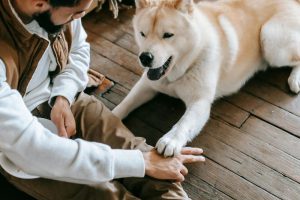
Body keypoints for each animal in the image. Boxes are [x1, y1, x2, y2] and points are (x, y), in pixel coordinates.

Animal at [112, 0, 300, 156]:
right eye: (142, 34)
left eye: (168, 35)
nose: (145, 57)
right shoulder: (146, 85)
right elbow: (125, 104)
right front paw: (110, 117)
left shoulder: (200, 102)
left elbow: (184, 123)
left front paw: (170, 140)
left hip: (270, 39)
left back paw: (294, 80)